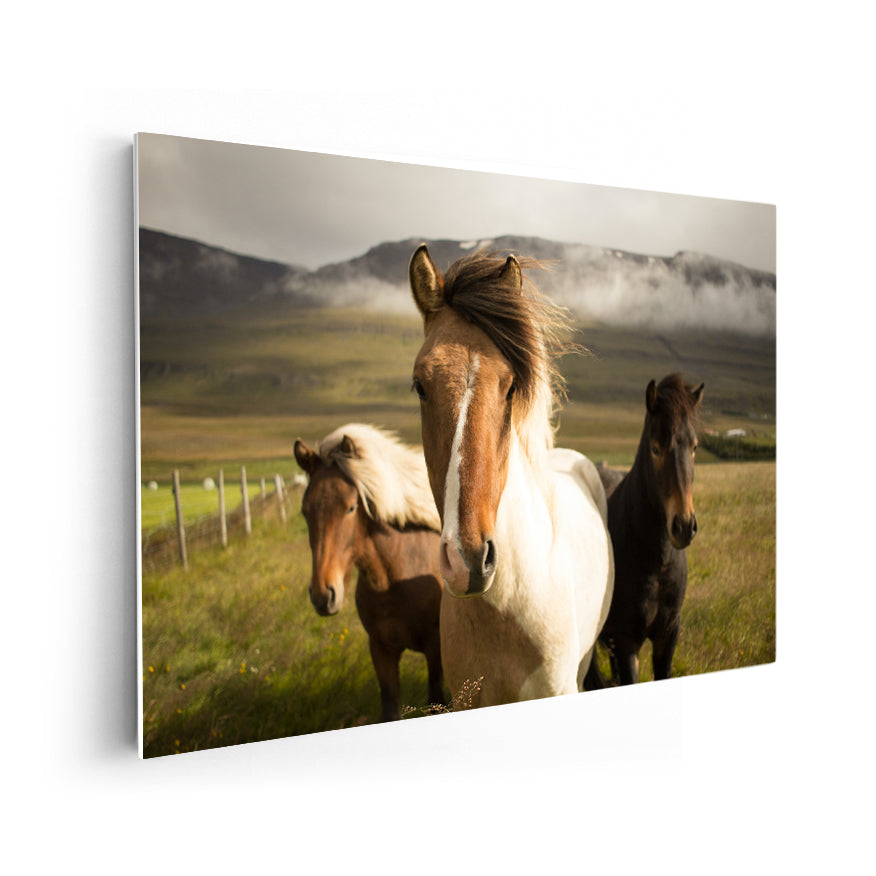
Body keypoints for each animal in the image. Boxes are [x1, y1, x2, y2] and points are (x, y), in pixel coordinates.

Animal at [293, 423, 445, 721]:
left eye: (351, 508)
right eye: (305, 511)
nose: (323, 595)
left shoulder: (436, 651)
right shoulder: (381, 650)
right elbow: (390, 707)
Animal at [585, 374, 704, 688]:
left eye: (694, 447)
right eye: (656, 448)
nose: (683, 526)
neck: (656, 560)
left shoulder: (668, 635)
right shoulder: (627, 641)